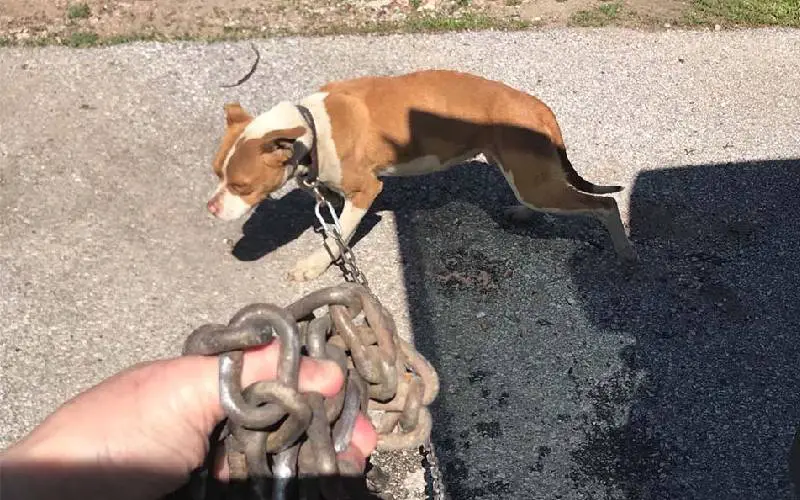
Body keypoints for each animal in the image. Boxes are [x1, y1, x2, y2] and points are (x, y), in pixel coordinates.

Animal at [206, 69, 636, 282]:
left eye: (241, 185)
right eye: (215, 173)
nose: (210, 208)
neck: (309, 126)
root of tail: (537, 107)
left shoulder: (366, 191)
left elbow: (337, 235)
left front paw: (314, 265)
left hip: (537, 183)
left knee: (605, 204)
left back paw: (624, 250)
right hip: (524, 173)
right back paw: (524, 214)